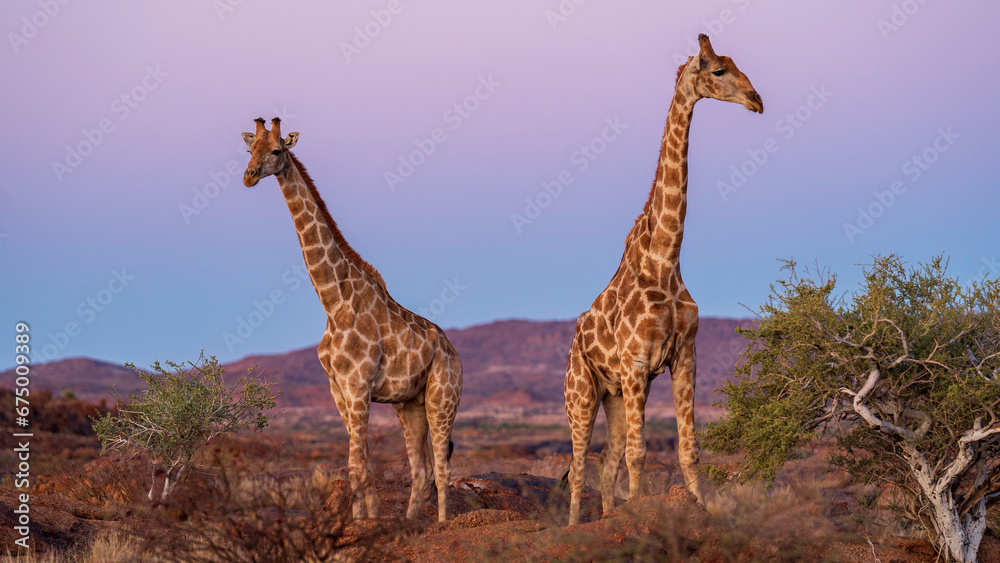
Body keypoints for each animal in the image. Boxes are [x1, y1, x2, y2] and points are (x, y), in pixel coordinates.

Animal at [241, 118, 463, 522]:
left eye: (277, 150)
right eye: (249, 150)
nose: (248, 177)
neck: (333, 302)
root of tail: (454, 351)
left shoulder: (358, 385)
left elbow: (356, 464)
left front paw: (361, 521)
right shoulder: (337, 389)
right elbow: (362, 463)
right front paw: (367, 519)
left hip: (443, 397)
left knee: (441, 465)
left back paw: (441, 524)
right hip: (410, 404)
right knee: (421, 468)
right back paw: (409, 522)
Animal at [563, 35, 763, 525]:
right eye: (716, 70)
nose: (757, 100)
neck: (666, 261)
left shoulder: (683, 357)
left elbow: (688, 452)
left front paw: (699, 508)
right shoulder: (637, 363)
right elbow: (638, 454)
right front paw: (638, 515)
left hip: (614, 394)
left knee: (604, 461)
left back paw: (606, 516)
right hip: (581, 392)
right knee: (578, 466)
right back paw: (574, 527)